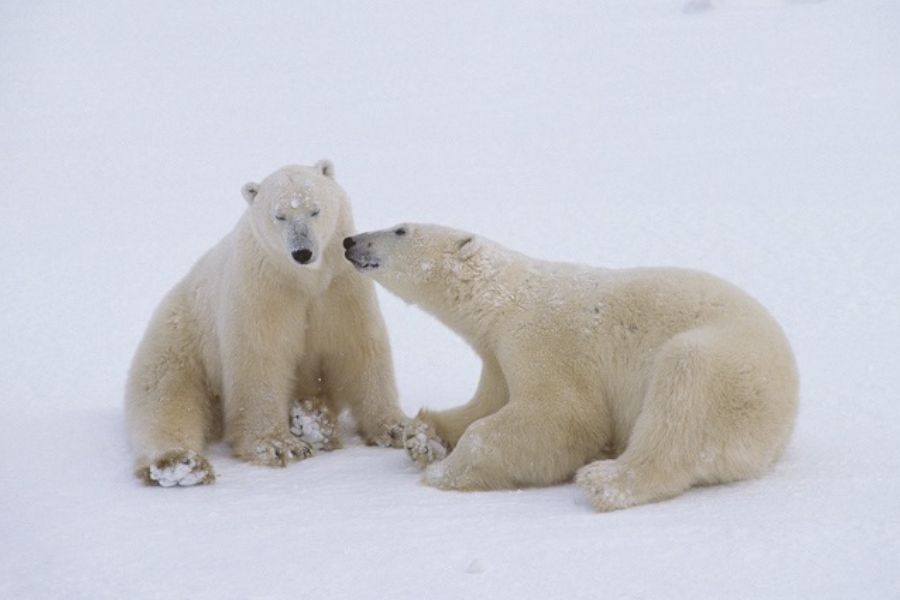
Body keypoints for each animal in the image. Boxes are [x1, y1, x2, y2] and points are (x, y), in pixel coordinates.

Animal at [125, 161, 408, 486]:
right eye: (279, 216)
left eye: (315, 210)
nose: (302, 252)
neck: (305, 279)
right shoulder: (262, 288)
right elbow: (261, 359)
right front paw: (280, 446)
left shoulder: (340, 286)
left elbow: (358, 348)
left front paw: (397, 428)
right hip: (180, 340)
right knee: (166, 398)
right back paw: (179, 463)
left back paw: (313, 420)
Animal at [343, 223, 798, 511]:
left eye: (401, 229)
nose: (350, 241)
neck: (505, 298)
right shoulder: (496, 355)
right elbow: (486, 403)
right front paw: (421, 438)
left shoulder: (543, 338)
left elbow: (564, 416)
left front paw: (443, 473)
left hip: (731, 369)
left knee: (682, 390)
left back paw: (606, 480)